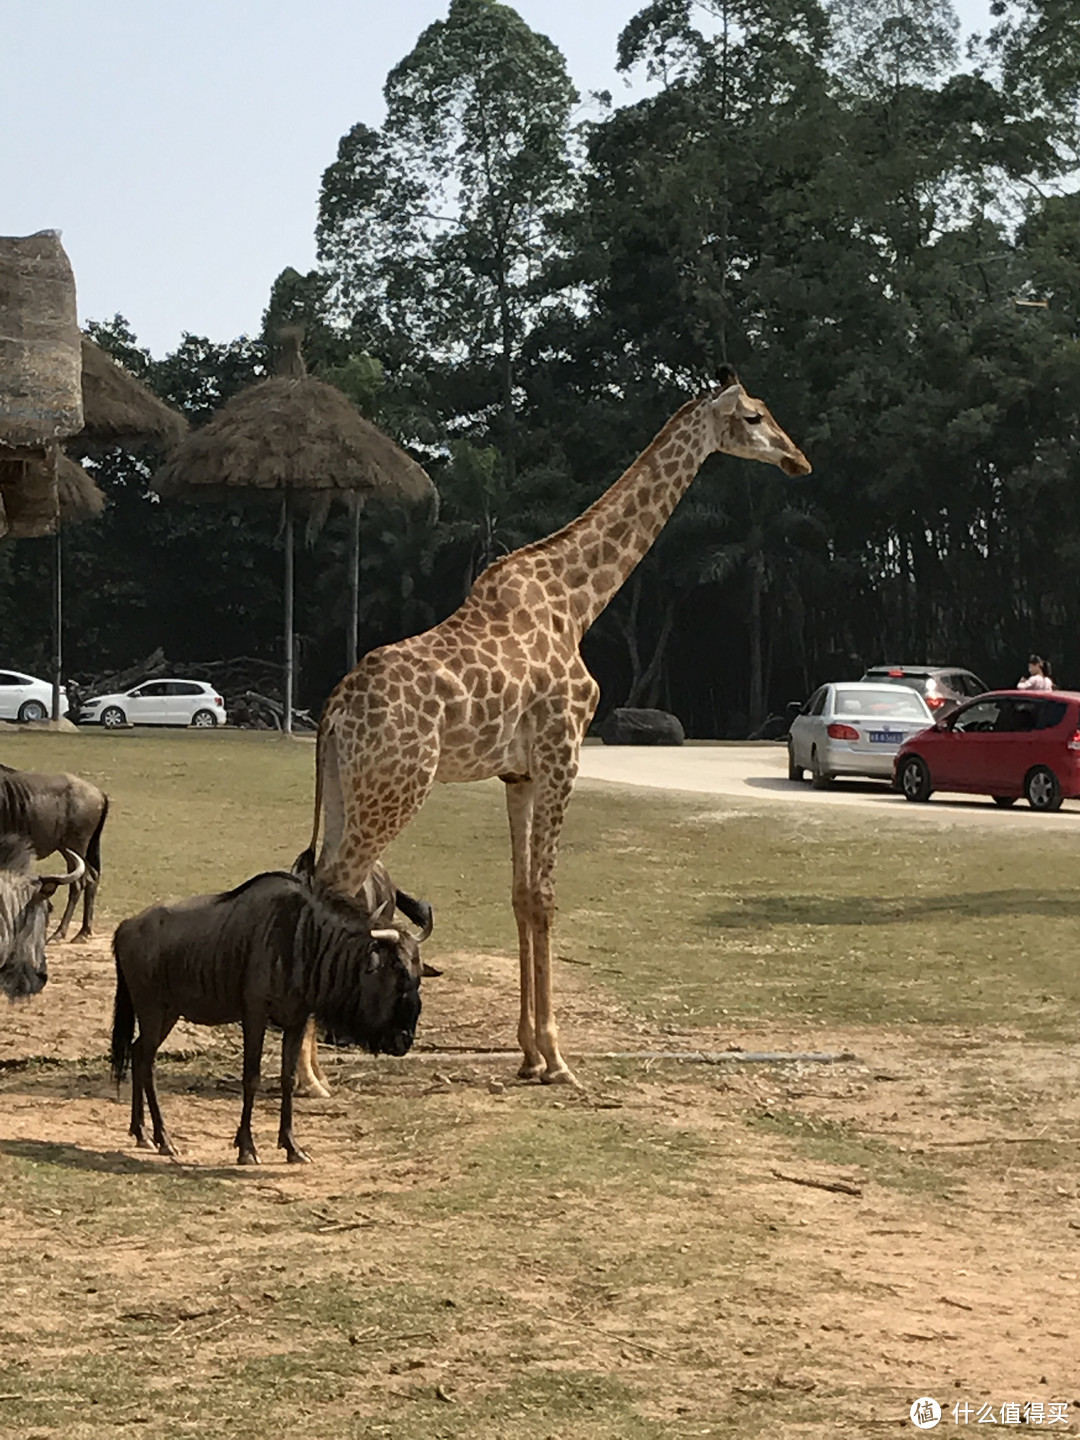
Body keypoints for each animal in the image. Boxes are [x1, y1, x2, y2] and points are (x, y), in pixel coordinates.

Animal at [300, 365, 806, 1082]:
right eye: (756, 416)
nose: (798, 459)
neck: (578, 601)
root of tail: (332, 711)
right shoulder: (564, 749)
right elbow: (545, 895)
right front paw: (558, 1058)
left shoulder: (518, 773)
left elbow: (519, 895)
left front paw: (529, 1054)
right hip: (396, 788)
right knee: (333, 891)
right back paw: (308, 1075)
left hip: (348, 787)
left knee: (318, 884)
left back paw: (310, 1067)